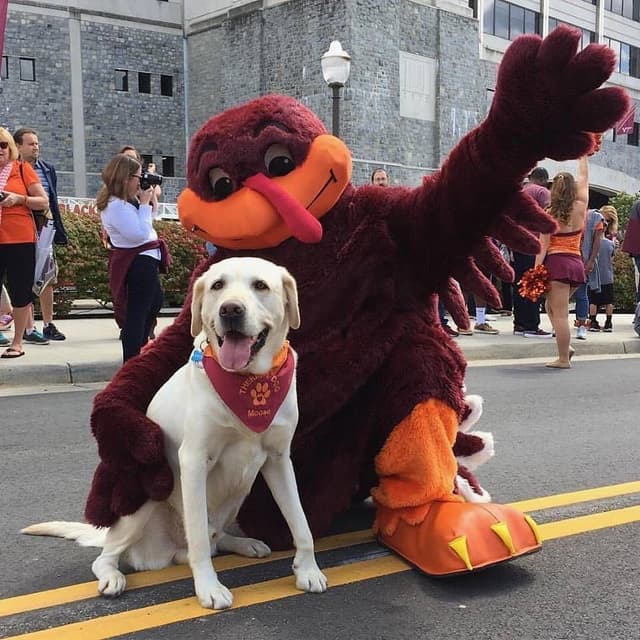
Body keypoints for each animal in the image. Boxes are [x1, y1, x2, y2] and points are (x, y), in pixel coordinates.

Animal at [23, 256, 328, 608]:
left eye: (260, 285)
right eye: (218, 285)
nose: (230, 310)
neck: (250, 382)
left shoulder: (279, 459)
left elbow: (300, 522)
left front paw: (308, 570)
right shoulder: (193, 461)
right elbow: (198, 539)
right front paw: (209, 587)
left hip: (239, 492)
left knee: (213, 537)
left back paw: (242, 543)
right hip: (146, 494)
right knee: (111, 555)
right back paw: (113, 576)